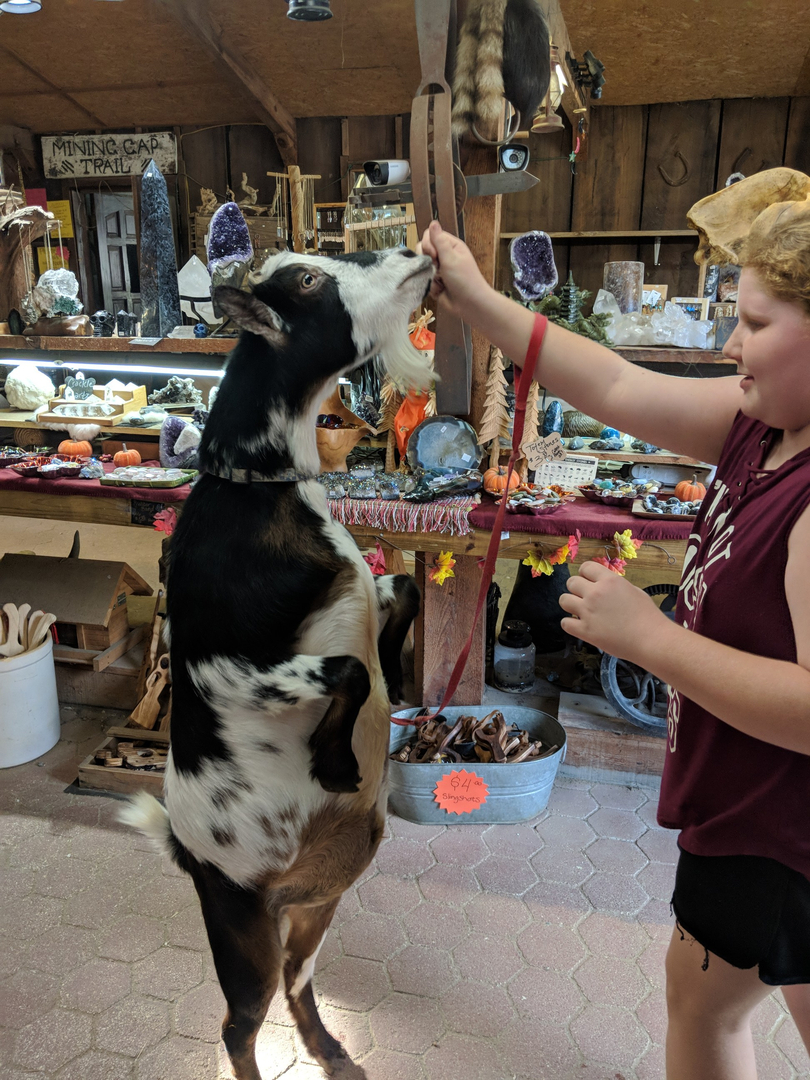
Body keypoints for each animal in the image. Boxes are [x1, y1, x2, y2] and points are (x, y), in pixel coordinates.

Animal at [120, 247, 434, 1080]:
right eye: (306, 281)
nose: (414, 252)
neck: (257, 489)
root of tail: (188, 854)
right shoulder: (222, 666)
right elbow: (349, 671)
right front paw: (334, 760)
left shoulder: (369, 588)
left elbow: (406, 593)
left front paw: (399, 684)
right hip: (242, 933)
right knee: (239, 1024)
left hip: (313, 915)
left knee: (298, 991)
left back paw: (334, 1054)